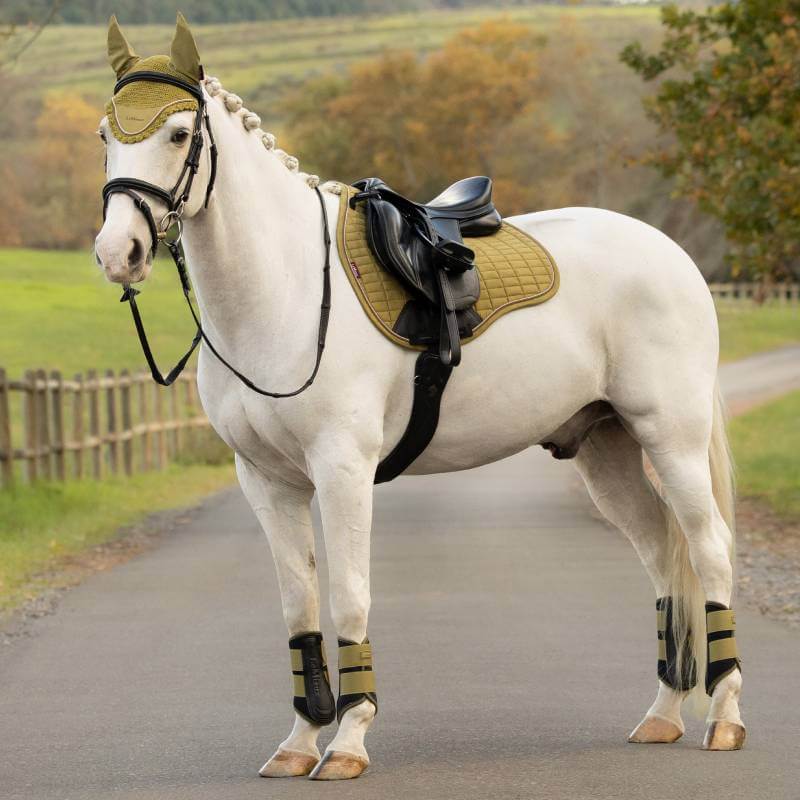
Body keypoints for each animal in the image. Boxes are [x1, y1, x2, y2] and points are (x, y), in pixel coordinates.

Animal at [94, 16, 744, 781]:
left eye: (176, 134)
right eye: (105, 134)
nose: (119, 252)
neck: (285, 290)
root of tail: (672, 255)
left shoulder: (342, 471)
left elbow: (349, 597)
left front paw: (347, 740)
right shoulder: (266, 483)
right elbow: (299, 606)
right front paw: (299, 742)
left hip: (670, 439)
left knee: (708, 550)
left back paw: (725, 718)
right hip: (606, 451)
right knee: (664, 555)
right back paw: (664, 715)